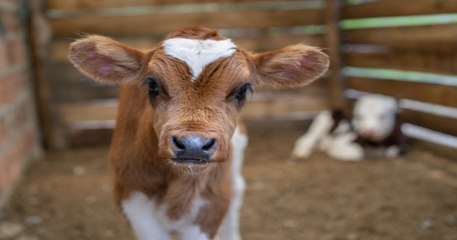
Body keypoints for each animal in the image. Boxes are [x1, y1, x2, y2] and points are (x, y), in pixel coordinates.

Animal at [69, 26, 328, 240]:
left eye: (243, 89)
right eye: (152, 84)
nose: (193, 144)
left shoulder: (211, 206)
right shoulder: (132, 199)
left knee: (237, 191)